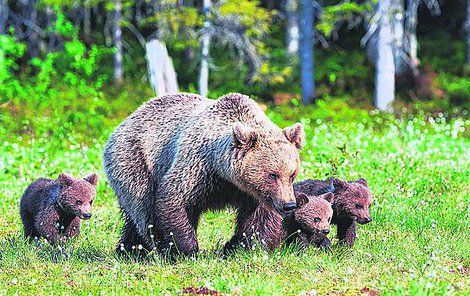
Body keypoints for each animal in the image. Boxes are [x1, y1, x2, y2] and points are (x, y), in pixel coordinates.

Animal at [103, 93, 304, 256]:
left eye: (292, 174)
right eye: (272, 175)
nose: (289, 204)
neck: (224, 174)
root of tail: (125, 120)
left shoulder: (253, 193)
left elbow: (259, 218)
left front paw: (245, 246)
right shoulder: (198, 167)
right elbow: (174, 198)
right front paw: (186, 249)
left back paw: (129, 249)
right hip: (136, 162)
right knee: (145, 209)